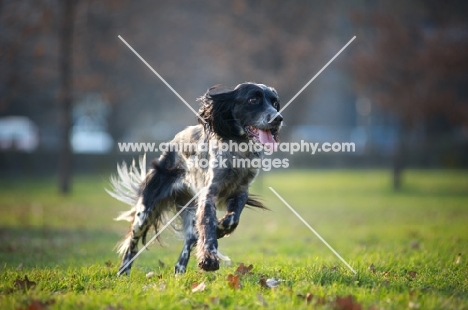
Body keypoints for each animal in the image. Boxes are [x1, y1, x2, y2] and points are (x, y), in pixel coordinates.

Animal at [108, 82, 284, 274]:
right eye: (253, 99)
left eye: (275, 103)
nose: (278, 119)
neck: (238, 148)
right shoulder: (208, 194)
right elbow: (208, 225)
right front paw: (209, 259)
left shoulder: (241, 192)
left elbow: (231, 219)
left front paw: (219, 229)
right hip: (146, 210)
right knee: (132, 242)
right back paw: (123, 272)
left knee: (190, 241)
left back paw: (179, 270)